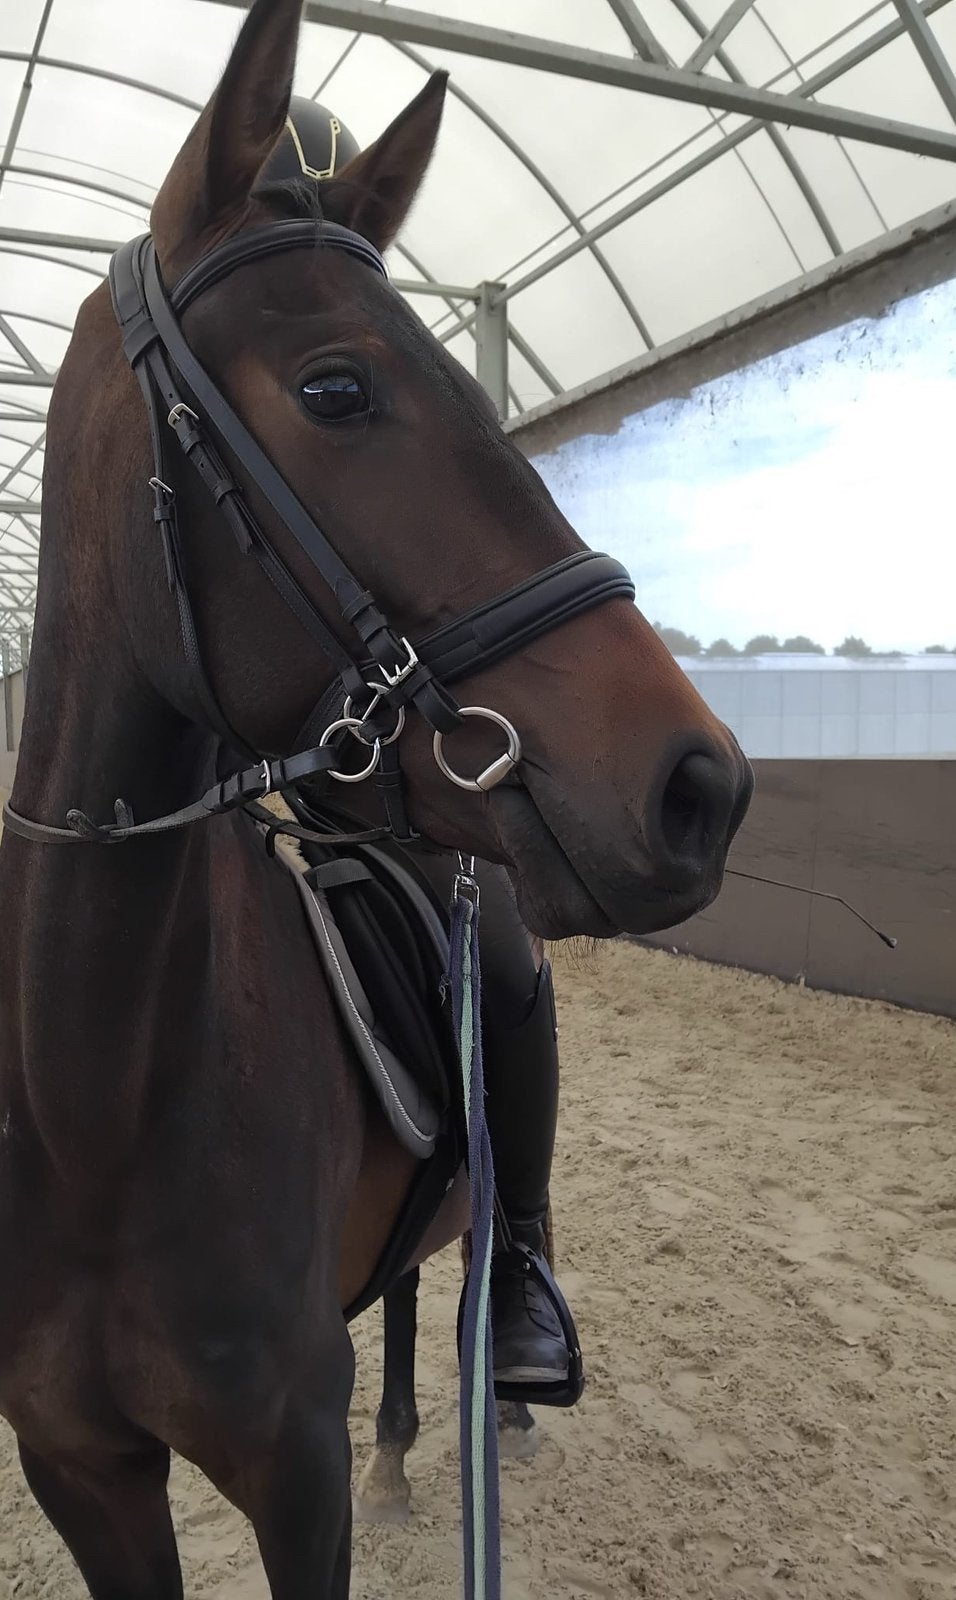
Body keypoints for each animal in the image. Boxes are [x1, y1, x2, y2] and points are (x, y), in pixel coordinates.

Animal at [0, 2, 752, 1595]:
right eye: (336, 388)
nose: (699, 785)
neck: (91, 1097)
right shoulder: (78, 1466)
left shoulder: (291, 1471)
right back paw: (413, 1447)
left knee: (477, 1242)